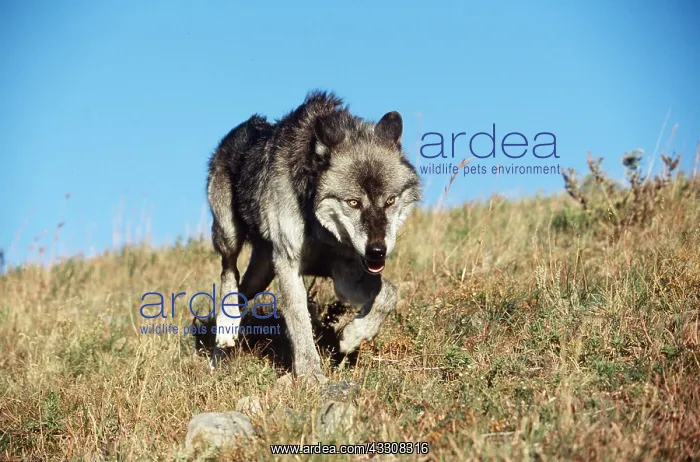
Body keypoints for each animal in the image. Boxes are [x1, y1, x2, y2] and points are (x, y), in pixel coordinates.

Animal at [206, 90, 422, 382]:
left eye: (390, 200)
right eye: (353, 203)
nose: (378, 251)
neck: (319, 227)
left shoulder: (343, 272)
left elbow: (388, 293)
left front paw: (353, 336)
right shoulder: (288, 265)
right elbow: (300, 323)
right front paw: (310, 377)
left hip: (263, 272)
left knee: (242, 292)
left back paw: (221, 353)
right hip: (229, 236)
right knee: (228, 271)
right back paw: (225, 331)